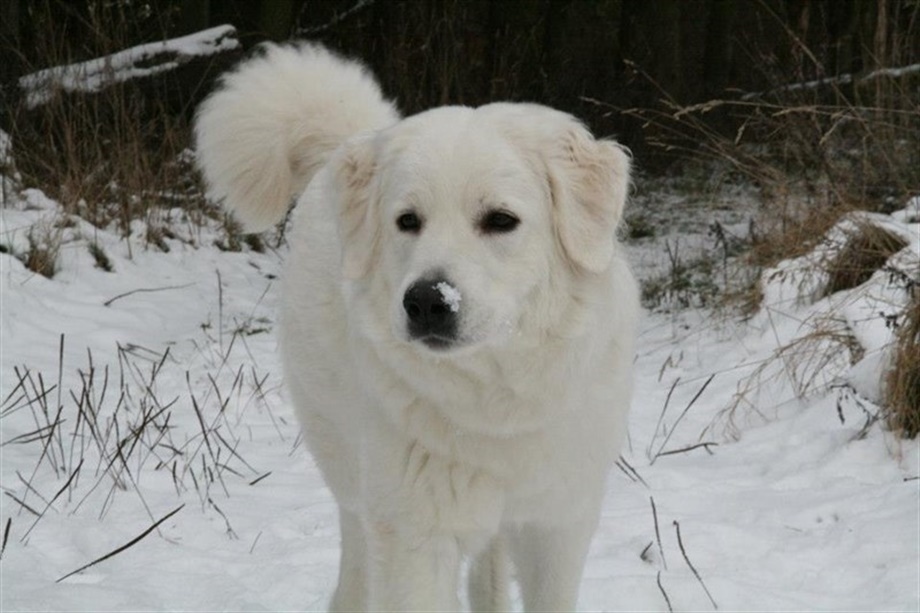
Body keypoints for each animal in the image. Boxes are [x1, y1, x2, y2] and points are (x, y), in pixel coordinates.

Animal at [195, 43, 639, 612]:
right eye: (408, 221)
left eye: (500, 220)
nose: (427, 301)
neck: (496, 399)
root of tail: (349, 142)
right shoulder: (415, 537)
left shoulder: (559, 525)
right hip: (353, 478)